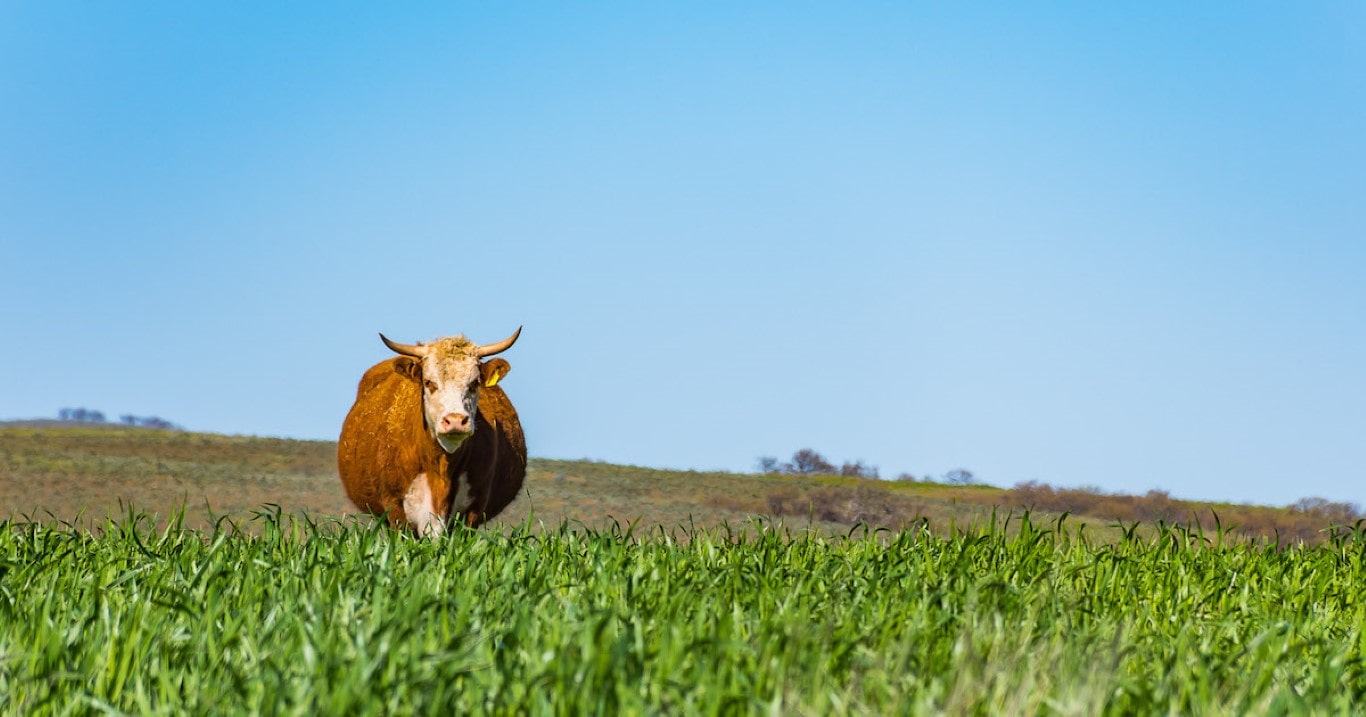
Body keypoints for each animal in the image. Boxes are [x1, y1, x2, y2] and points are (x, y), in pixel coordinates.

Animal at [340, 326, 527, 532]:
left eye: (474, 383)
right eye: (429, 382)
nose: (455, 420)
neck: (441, 466)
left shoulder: (473, 510)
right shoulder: (395, 509)